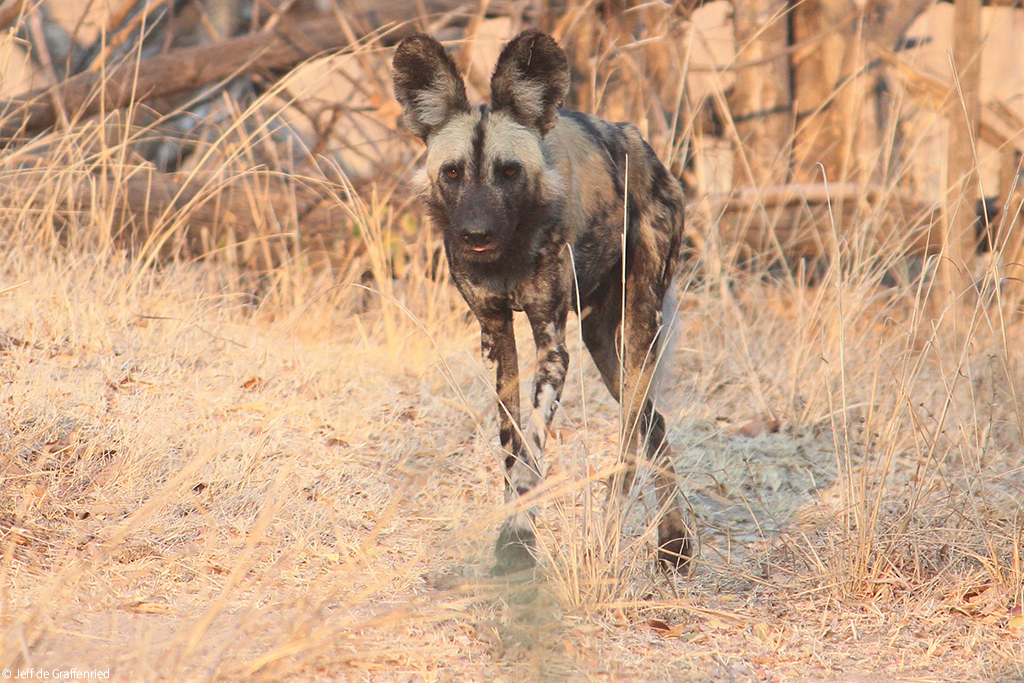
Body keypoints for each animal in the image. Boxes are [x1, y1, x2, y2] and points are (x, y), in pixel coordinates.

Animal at [395, 29, 692, 573]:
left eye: (509, 172)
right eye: (453, 173)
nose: (476, 234)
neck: (508, 252)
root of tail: (642, 144)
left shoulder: (552, 349)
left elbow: (532, 454)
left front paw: (516, 544)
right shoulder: (498, 340)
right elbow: (512, 449)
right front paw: (514, 543)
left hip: (639, 327)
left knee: (631, 438)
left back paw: (609, 541)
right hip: (601, 342)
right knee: (653, 422)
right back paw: (673, 540)